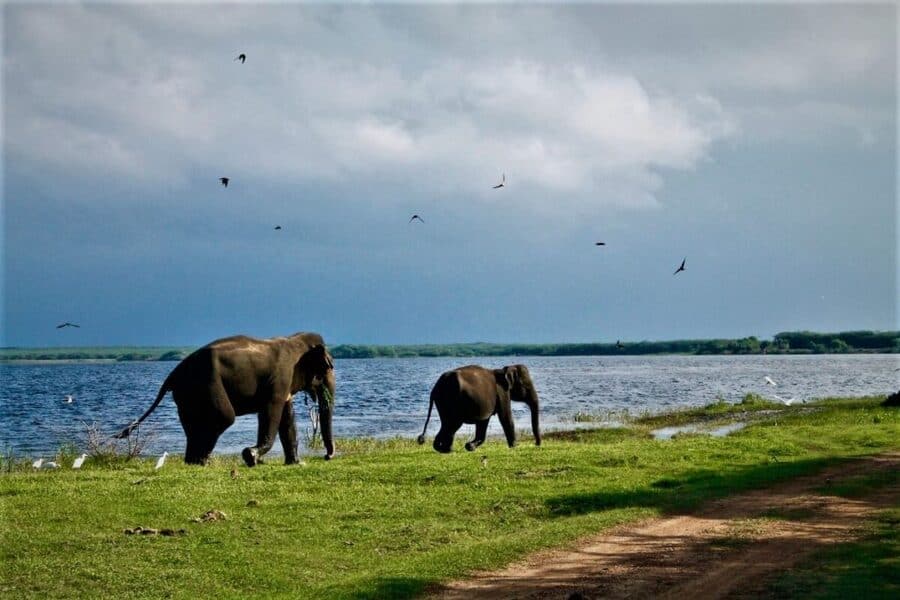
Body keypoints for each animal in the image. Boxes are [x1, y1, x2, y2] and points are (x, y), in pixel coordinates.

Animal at [115, 331, 335, 466]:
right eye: (328, 367)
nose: (327, 456)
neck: (294, 340)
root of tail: (173, 373)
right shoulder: (279, 381)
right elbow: (271, 413)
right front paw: (251, 456)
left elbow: (287, 418)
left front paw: (297, 463)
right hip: (207, 384)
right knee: (224, 417)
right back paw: (203, 461)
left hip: (186, 395)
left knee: (194, 425)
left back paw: (193, 462)